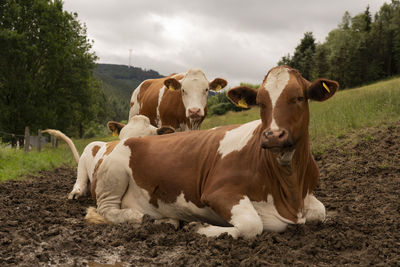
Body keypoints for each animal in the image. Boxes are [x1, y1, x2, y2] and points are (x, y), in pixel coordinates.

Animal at [86, 66, 340, 241]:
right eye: (260, 102)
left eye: (299, 97)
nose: (273, 135)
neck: (288, 185)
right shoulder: (219, 192)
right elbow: (252, 225)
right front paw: (201, 227)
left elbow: (321, 211)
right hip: (113, 175)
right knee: (107, 209)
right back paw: (151, 219)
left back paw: (167, 220)